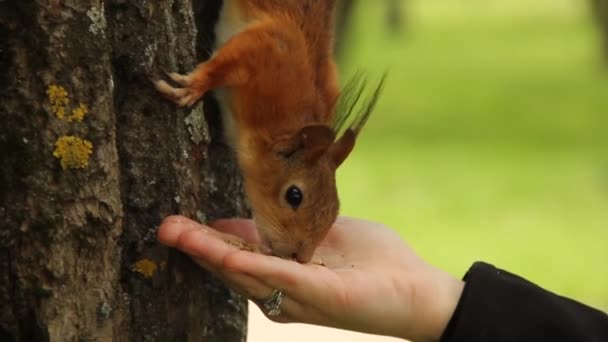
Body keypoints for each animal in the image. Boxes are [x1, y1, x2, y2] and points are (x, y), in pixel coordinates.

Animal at [156, 0, 384, 264]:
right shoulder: (267, 48)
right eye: (294, 195)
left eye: (336, 209)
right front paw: (192, 87)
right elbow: (221, 65)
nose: (299, 257)